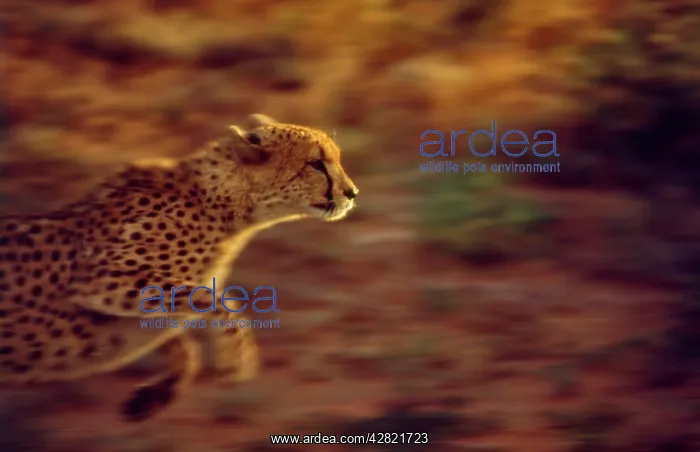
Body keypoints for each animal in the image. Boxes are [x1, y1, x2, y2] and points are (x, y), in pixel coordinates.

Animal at [0, 113, 359, 421]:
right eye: (316, 164)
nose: (352, 193)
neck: (226, 204)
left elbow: (178, 329)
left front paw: (158, 392)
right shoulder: (100, 279)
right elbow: (212, 299)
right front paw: (234, 358)